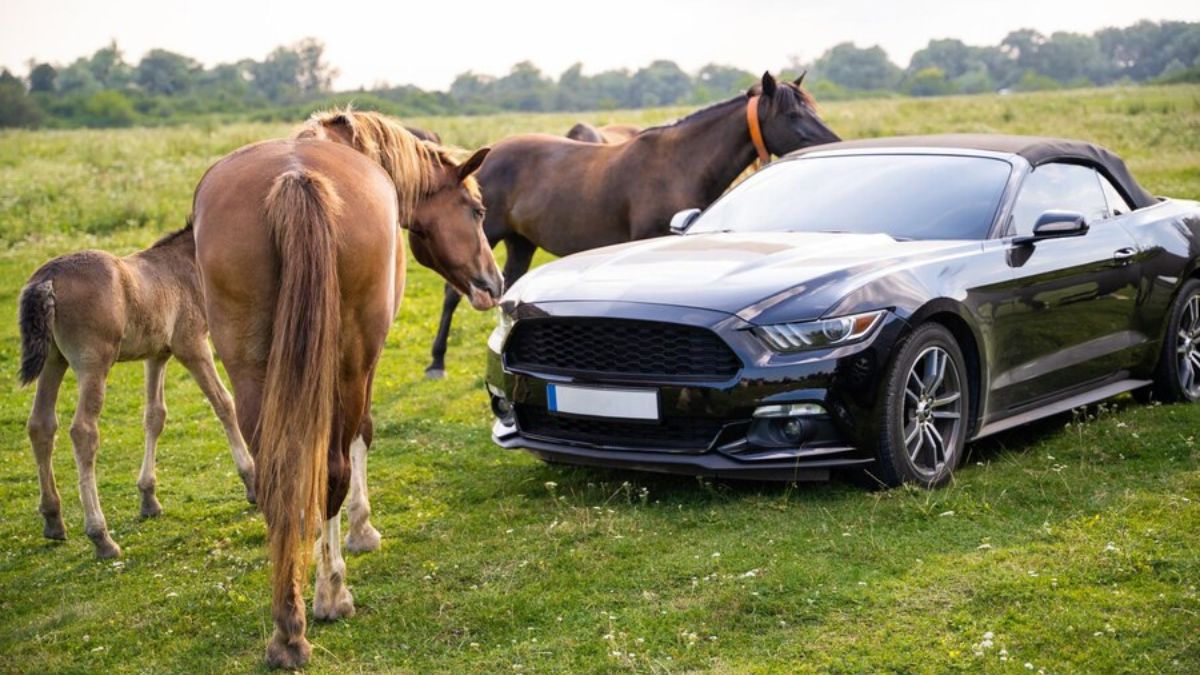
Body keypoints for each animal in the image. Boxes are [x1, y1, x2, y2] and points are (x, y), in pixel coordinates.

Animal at [193, 107, 501, 662]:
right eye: (476, 209)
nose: (495, 282)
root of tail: (296, 178)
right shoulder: (367, 364)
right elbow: (362, 436)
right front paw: (360, 531)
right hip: (353, 359)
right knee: (333, 468)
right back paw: (328, 596)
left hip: (247, 367)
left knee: (277, 477)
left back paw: (286, 627)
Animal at [427, 70, 840, 374]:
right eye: (792, 115)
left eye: (813, 110)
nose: (832, 144)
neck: (679, 165)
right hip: (485, 235)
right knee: (453, 293)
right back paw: (437, 362)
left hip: (521, 242)